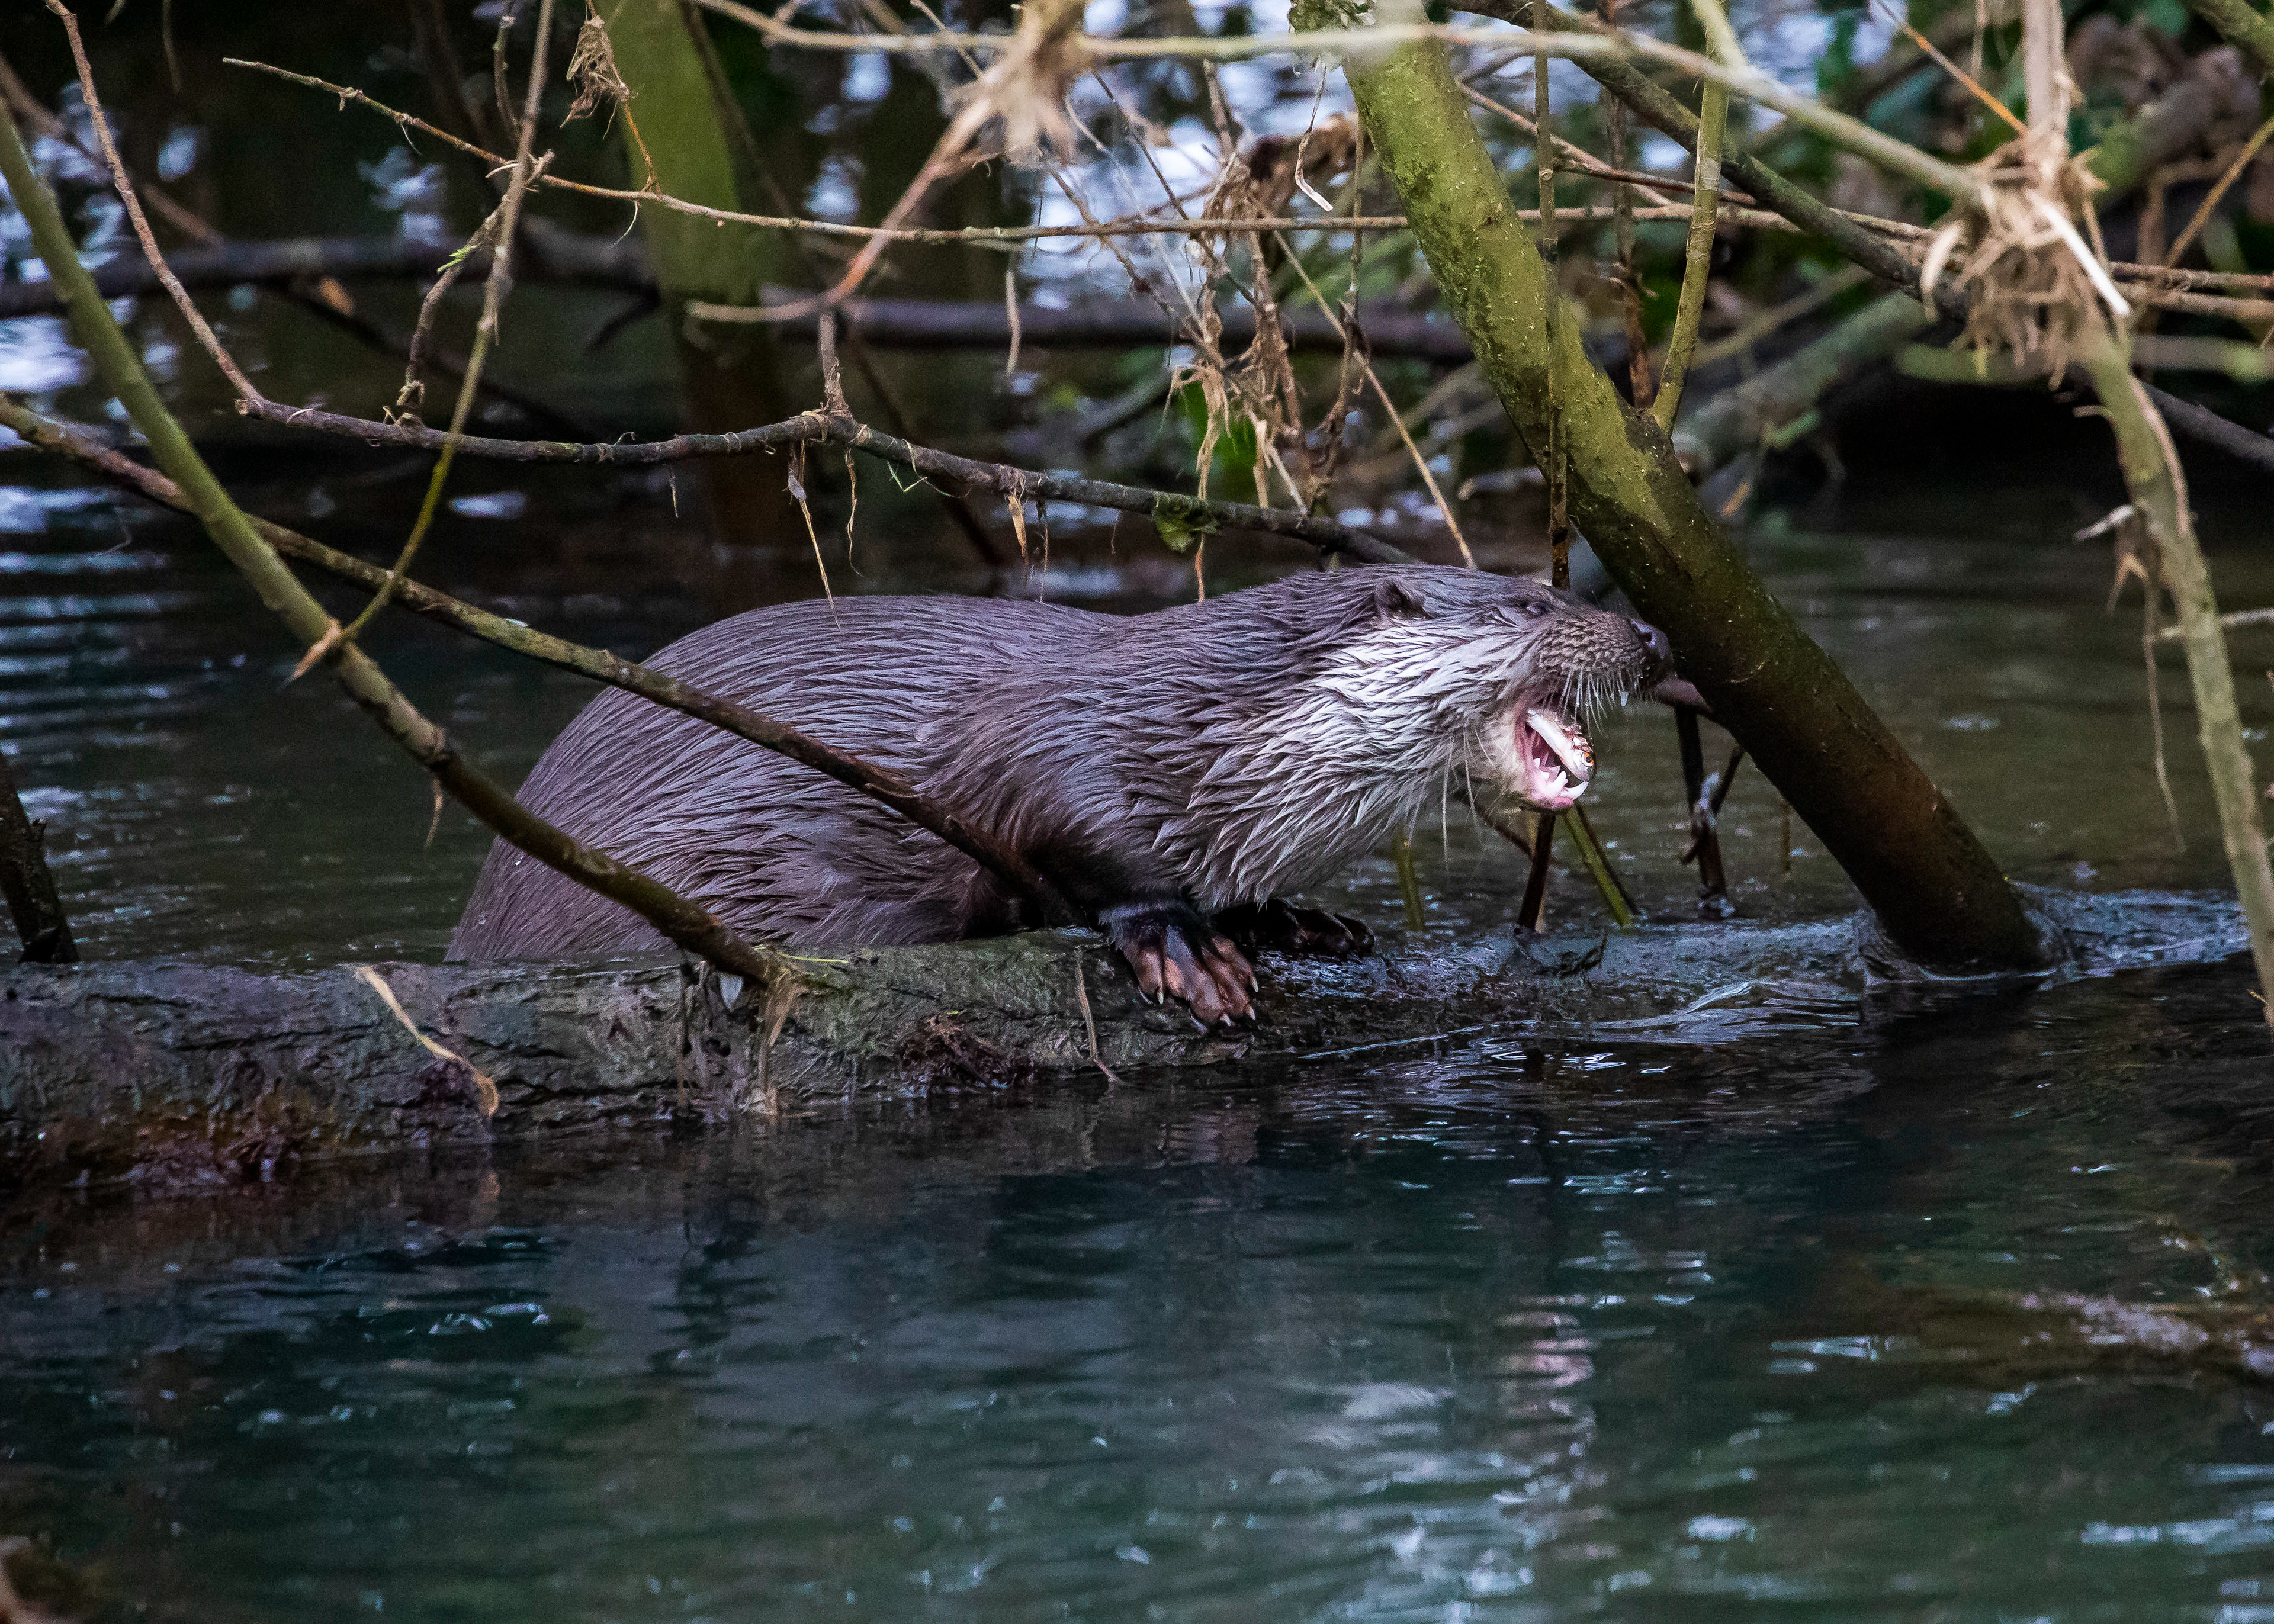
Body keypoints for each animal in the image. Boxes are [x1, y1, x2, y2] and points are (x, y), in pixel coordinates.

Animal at [451, 565, 1675, 1023]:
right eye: (1533, 602)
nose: (1654, 634)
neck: (1210, 732)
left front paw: (1300, 919)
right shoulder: (1057, 742)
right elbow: (1063, 834)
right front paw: (1184, 946)